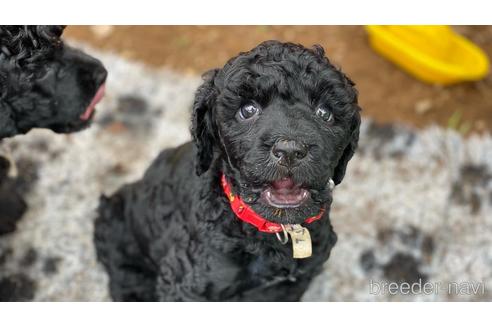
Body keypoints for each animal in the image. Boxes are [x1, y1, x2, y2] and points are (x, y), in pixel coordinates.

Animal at [95, 41, 362, 302]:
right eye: (248, 110)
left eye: (324, 113)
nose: (290, 150)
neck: (273, 232)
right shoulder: (185, 285)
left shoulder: (289, 288)